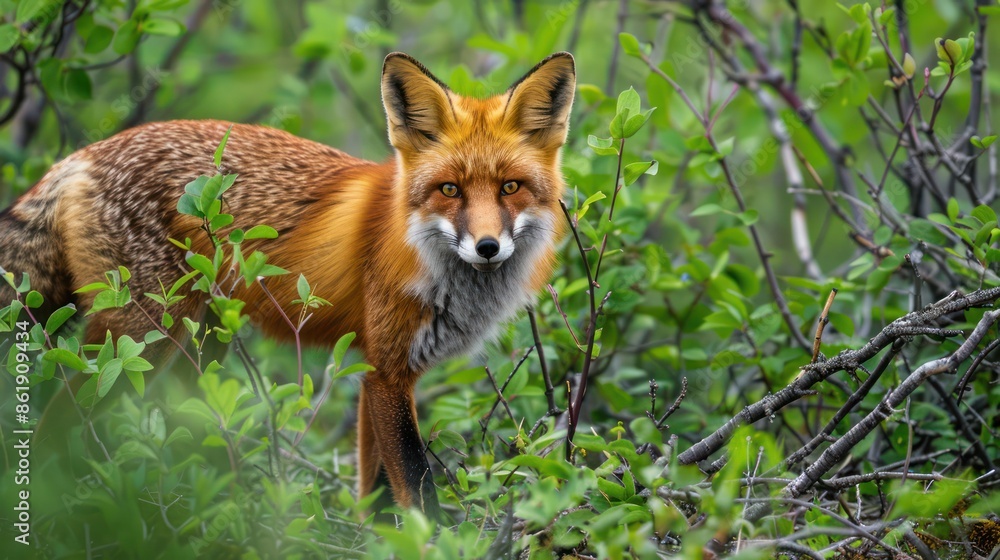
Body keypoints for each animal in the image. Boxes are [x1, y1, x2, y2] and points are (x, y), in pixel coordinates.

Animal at [0, 52, 575, 516]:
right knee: (52, 431)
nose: (487, 247)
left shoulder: (375, 371)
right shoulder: (388, 371)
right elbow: (417, 489)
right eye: (450, 190)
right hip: (138, 343)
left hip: (203, 347)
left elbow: (376, 494)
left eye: (510, 188)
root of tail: (83, 154)